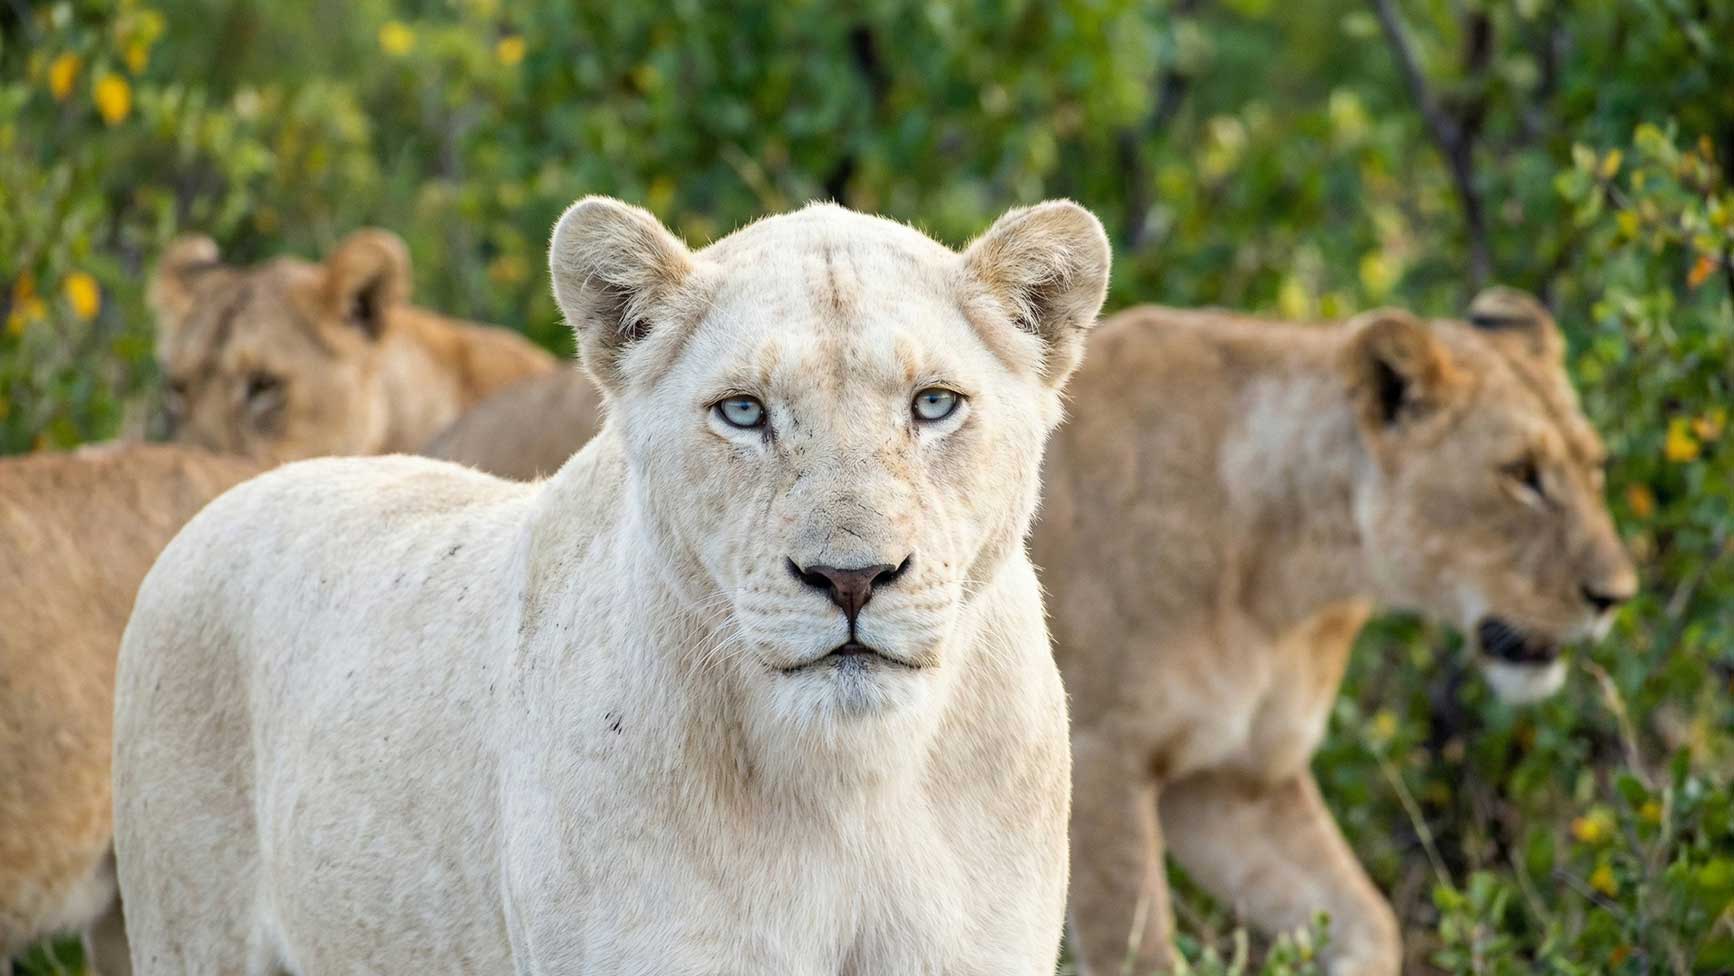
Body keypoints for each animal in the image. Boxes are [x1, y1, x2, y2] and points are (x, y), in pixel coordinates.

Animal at [1035, 289, 1637, 976]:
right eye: (1520, 474)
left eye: (1595, 466)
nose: (1616, 596)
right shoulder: (1102, 759)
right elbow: (1140, 955)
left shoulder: (1230, 780)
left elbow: (1368, 921)